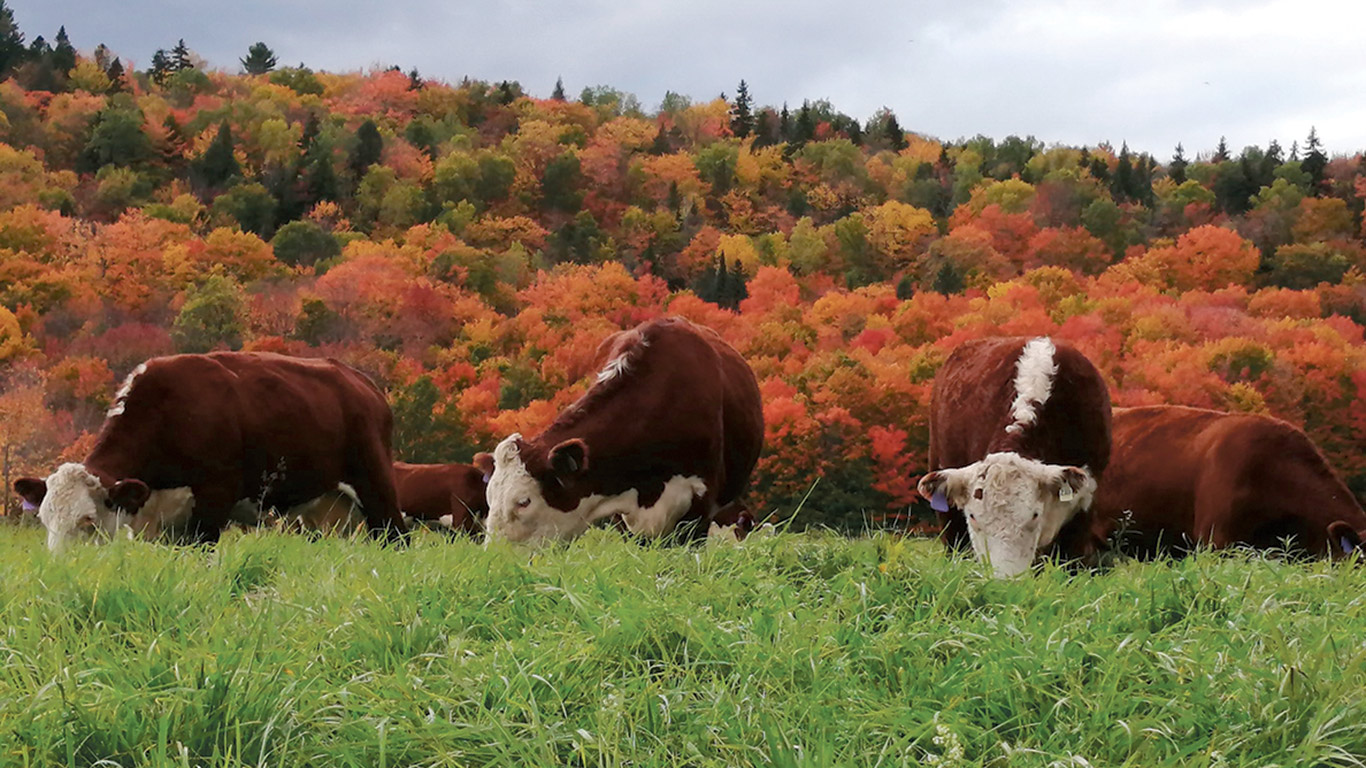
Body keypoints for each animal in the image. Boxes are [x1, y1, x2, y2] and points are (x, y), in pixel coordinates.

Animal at [12, 349, 404, 546]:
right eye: (44, 519)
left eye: (88, 522)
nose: (61, 570)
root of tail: (362, 383)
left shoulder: (214, 497)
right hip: (324, 508)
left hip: (376, 485)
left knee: (397, 538)